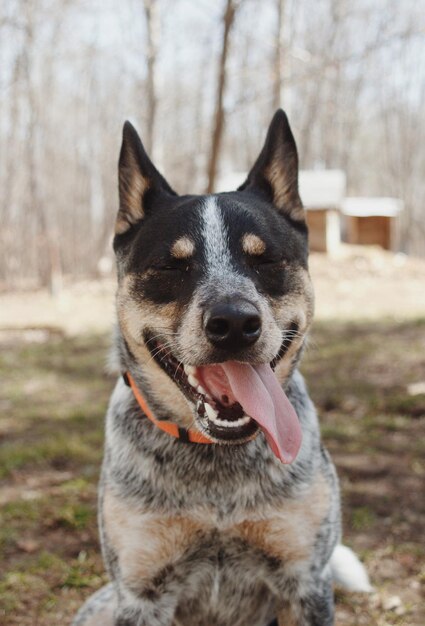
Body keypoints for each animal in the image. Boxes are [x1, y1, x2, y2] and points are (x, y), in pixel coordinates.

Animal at [71, 109, 370, 620]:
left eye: (265, 259)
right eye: (171, 266)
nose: (233, 322)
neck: (216, 470)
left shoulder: (306, 582)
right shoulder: (140, 592)